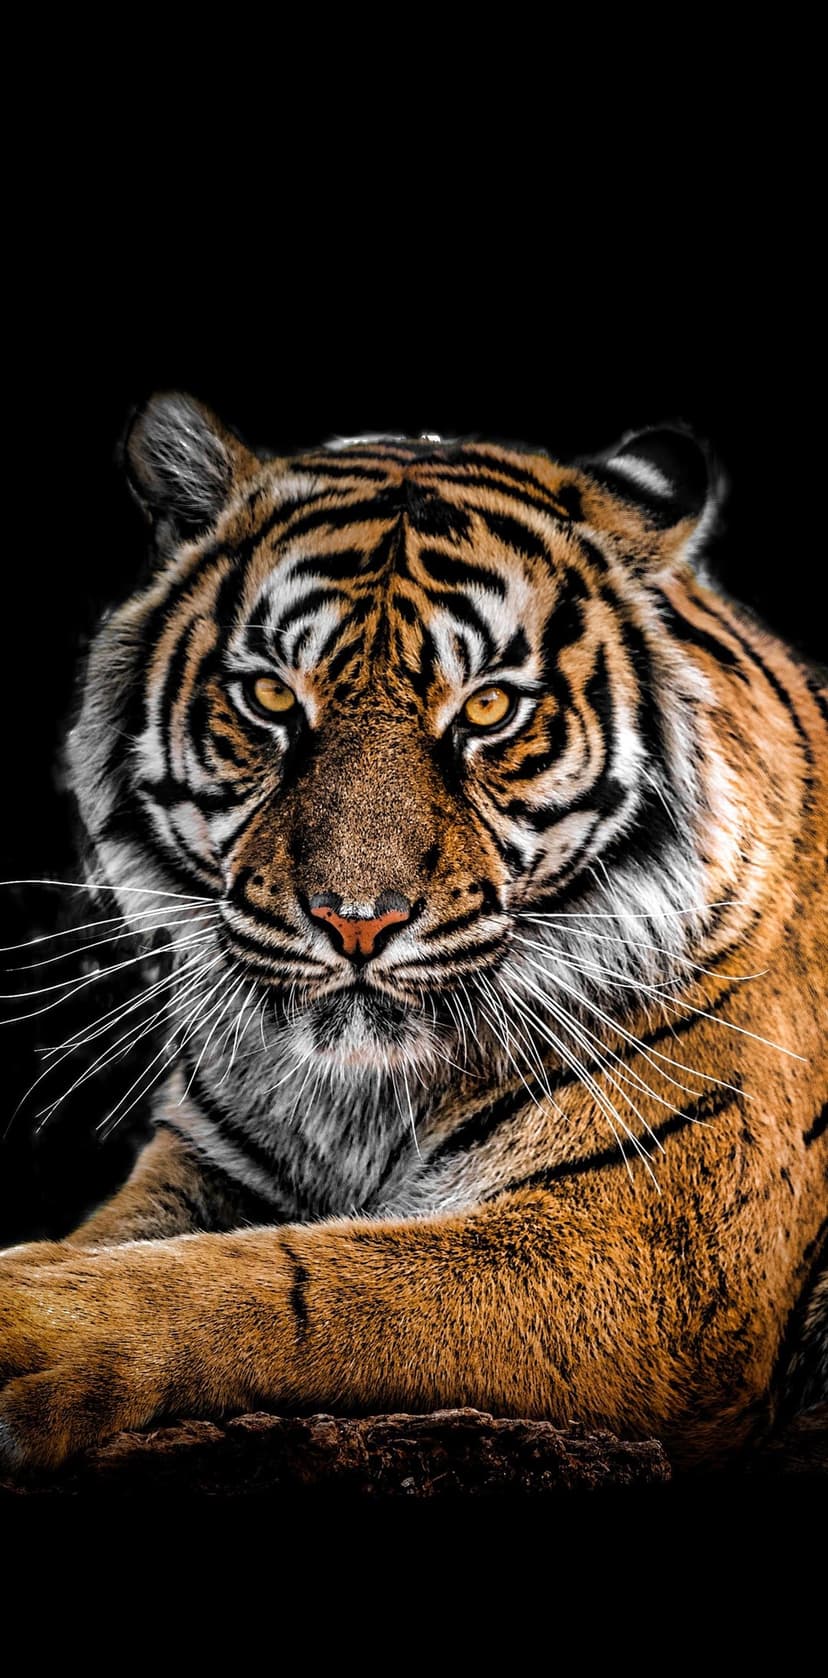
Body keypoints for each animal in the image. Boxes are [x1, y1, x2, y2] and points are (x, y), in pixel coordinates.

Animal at [0, 394, 825, 1476]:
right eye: (271, 696)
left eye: (489, 707)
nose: (358, 921)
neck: (360, 1100)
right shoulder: (206, 1162)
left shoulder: (658, 1257)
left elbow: (313, 1283)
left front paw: (35, 1326)